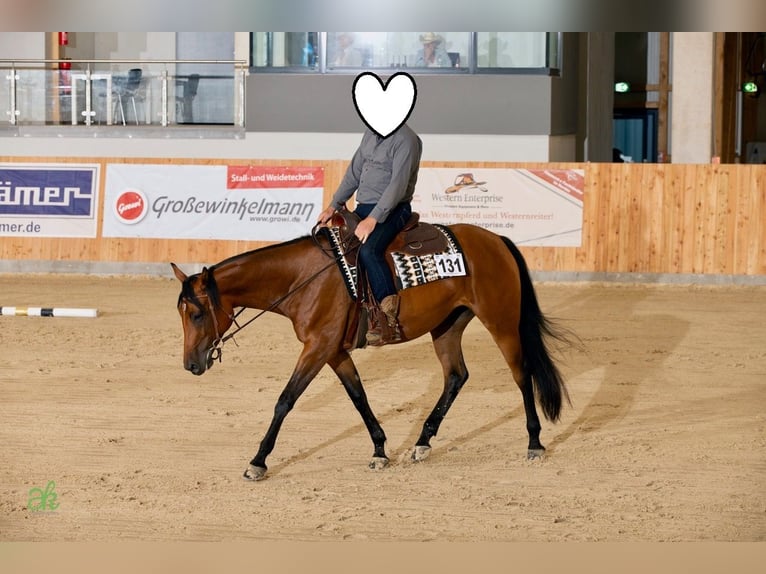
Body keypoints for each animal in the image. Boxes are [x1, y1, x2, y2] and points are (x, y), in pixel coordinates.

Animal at [171, 220, 571, 481]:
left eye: (196, 313)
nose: (190, 364)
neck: (304, 278)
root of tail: (496, 240)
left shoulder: (317, 347)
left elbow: (285, 400)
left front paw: (258, 461)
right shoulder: (333, 351)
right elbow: (358, 396)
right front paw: (379, 450)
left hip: (501, 322)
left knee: (522, 374)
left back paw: (534, 441)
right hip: (447, 326)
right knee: (456, 375)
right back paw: (422, 442)